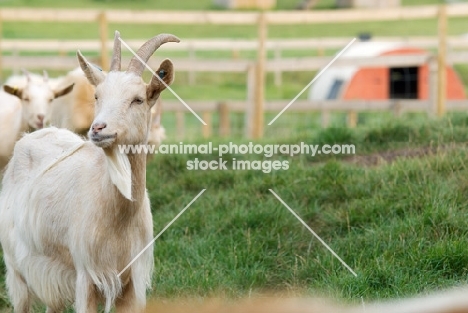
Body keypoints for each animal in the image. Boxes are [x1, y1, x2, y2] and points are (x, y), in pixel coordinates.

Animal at [0, 29, 178, 312]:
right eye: (97, 96)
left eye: (138, 100)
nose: (98, 128)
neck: (119, 218)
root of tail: (34, 133)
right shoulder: (86, 275)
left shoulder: (132, 284)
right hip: (17, 266)